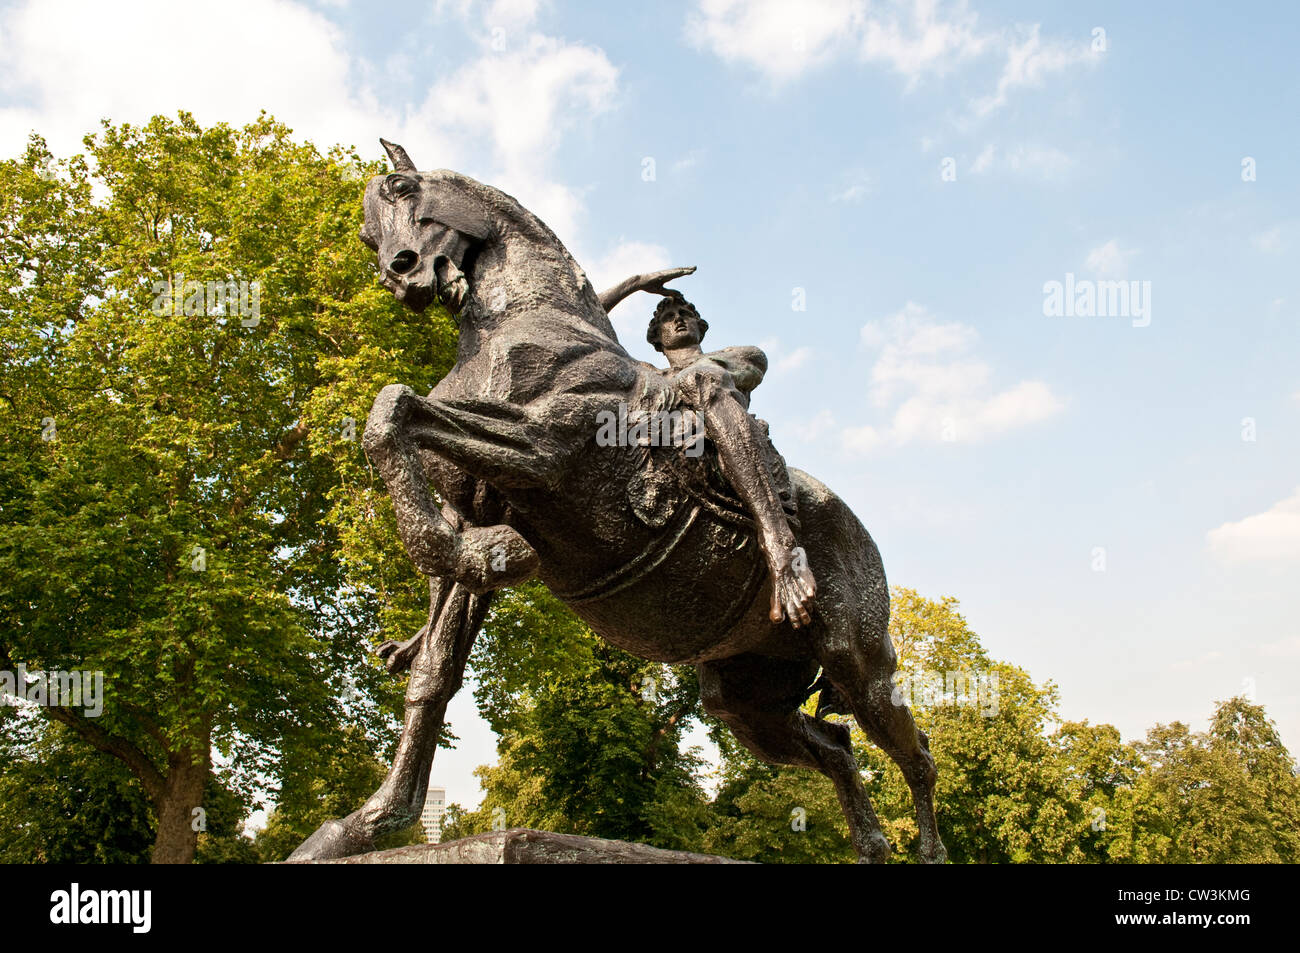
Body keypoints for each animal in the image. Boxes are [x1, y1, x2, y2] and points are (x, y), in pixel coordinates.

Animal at [292, 141, 946, 863]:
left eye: (404, 188)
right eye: (364, 235)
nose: (399, 272)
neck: (515, 327)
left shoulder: (542, 450)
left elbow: (394, 410)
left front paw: (491, 552)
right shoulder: (476, 503)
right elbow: (433, 674)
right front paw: (365, 823)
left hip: (859, 663)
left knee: (916, 755)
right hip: (747, 698)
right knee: (837, 746)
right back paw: (871, 843)